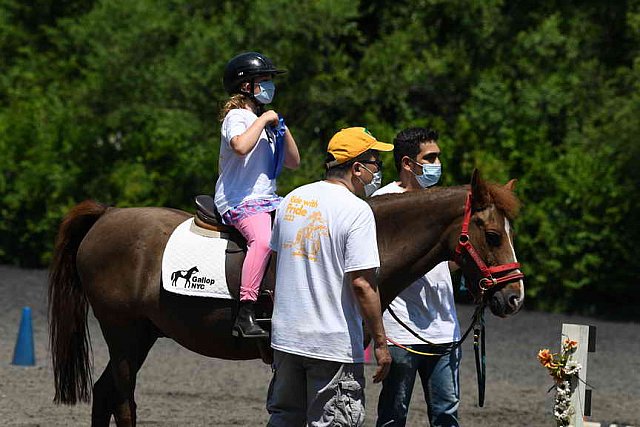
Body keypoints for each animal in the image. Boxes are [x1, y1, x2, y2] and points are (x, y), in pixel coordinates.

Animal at [48, 170, 520, 424]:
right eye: (494, 235)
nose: (514, 297)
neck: (374, 239)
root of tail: (107, 215)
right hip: (123, 335)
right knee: (122, 401)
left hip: (141, 337)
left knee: (104, 394)